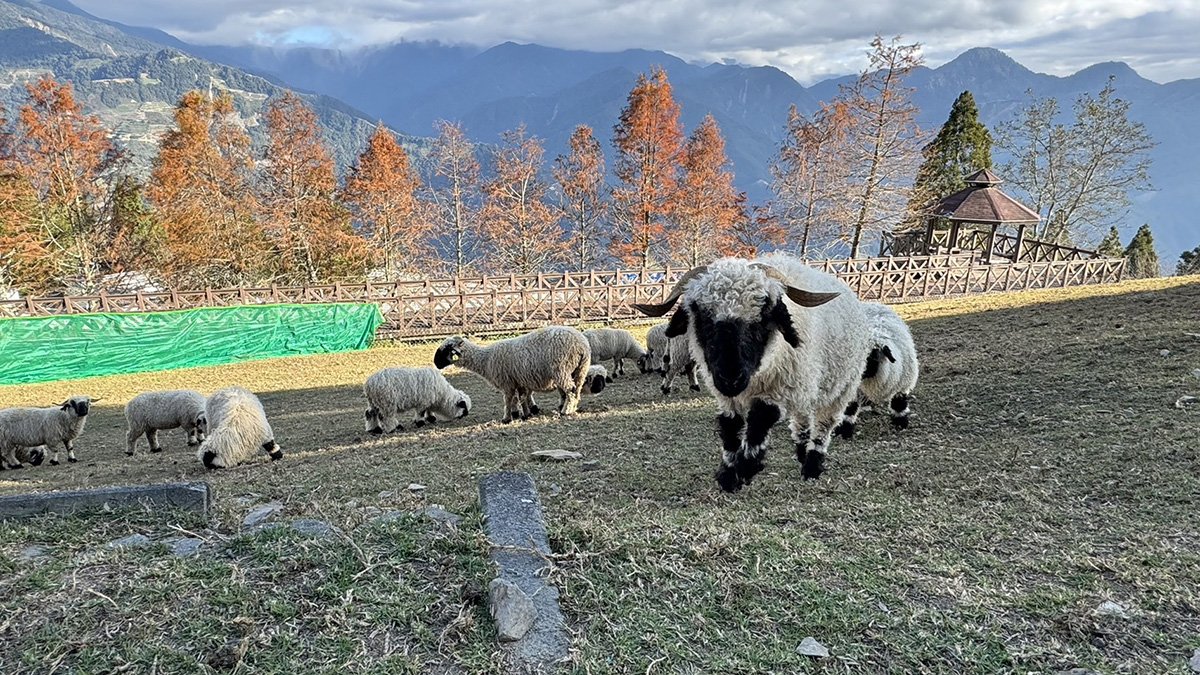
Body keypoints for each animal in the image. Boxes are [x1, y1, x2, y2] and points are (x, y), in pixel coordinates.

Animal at [436, 324, 595, 420]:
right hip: (579, 370)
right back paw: (571, 408)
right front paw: (522, 413)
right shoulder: (517, 380)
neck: (486, 359)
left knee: (571, 390)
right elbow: (520, 398)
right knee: (576, 390)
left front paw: (507, 418)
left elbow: (509, 399)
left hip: (561, 369)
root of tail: (581, 345)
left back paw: (566, 411)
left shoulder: (507, 382)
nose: (436, 364)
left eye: (447, 349)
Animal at [633, 252, 868, 487]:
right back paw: (802, 451)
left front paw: (747, 467)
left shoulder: (780, 389)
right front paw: (728, 475)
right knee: (801, 420)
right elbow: (730, 426)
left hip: (840, 387)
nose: (731, 377)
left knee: (823, 426)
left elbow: (759, 420)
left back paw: (812, 465)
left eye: (763, 315)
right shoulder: (727, 396)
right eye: (701, 315)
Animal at [835, 299, 916, 437]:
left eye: (870, 357)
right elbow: (849, 410)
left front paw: (901, 423)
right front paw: (844, 430)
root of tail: (871, 302)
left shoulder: (902, 386)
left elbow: (899, 404)